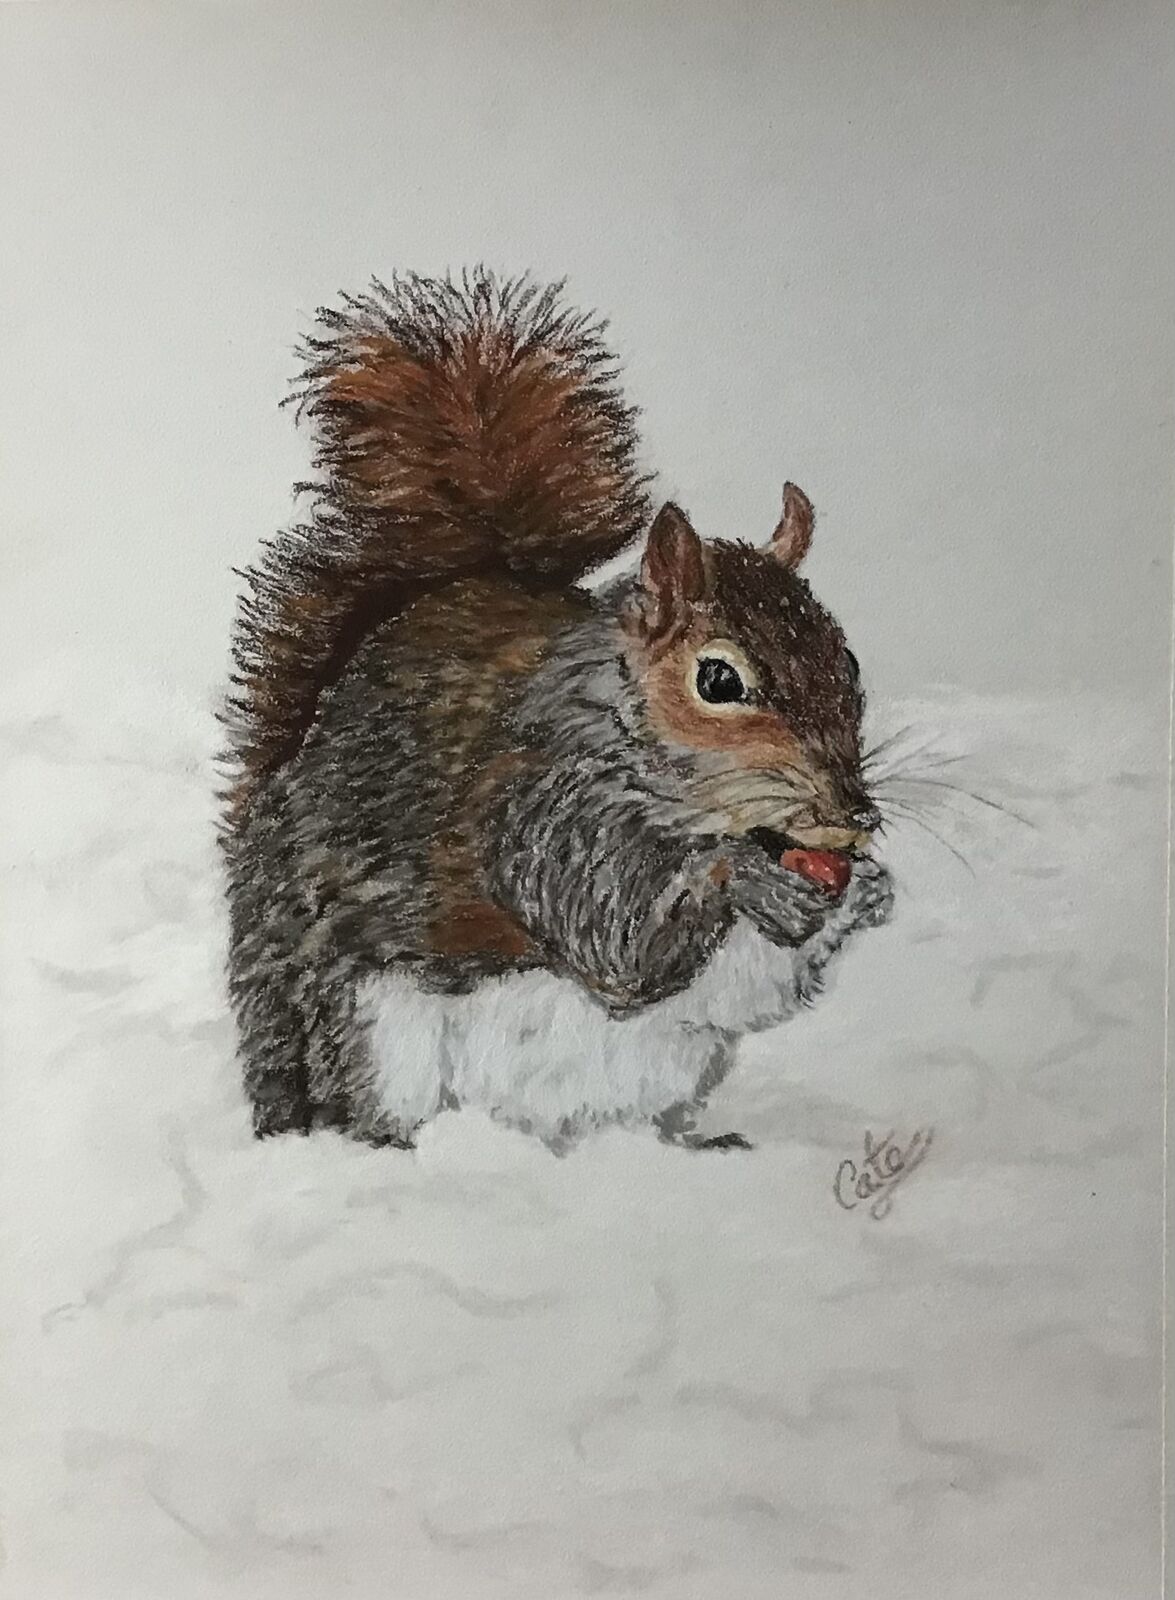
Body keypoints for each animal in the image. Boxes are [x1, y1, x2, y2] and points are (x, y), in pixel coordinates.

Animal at [220, 269, 893, 1152]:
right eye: (718, 681)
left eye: (848, 661)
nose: (854, 814)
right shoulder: (536, 814)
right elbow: (615, 938)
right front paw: (742, 878)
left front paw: (867, 891)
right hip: (367, 1035)